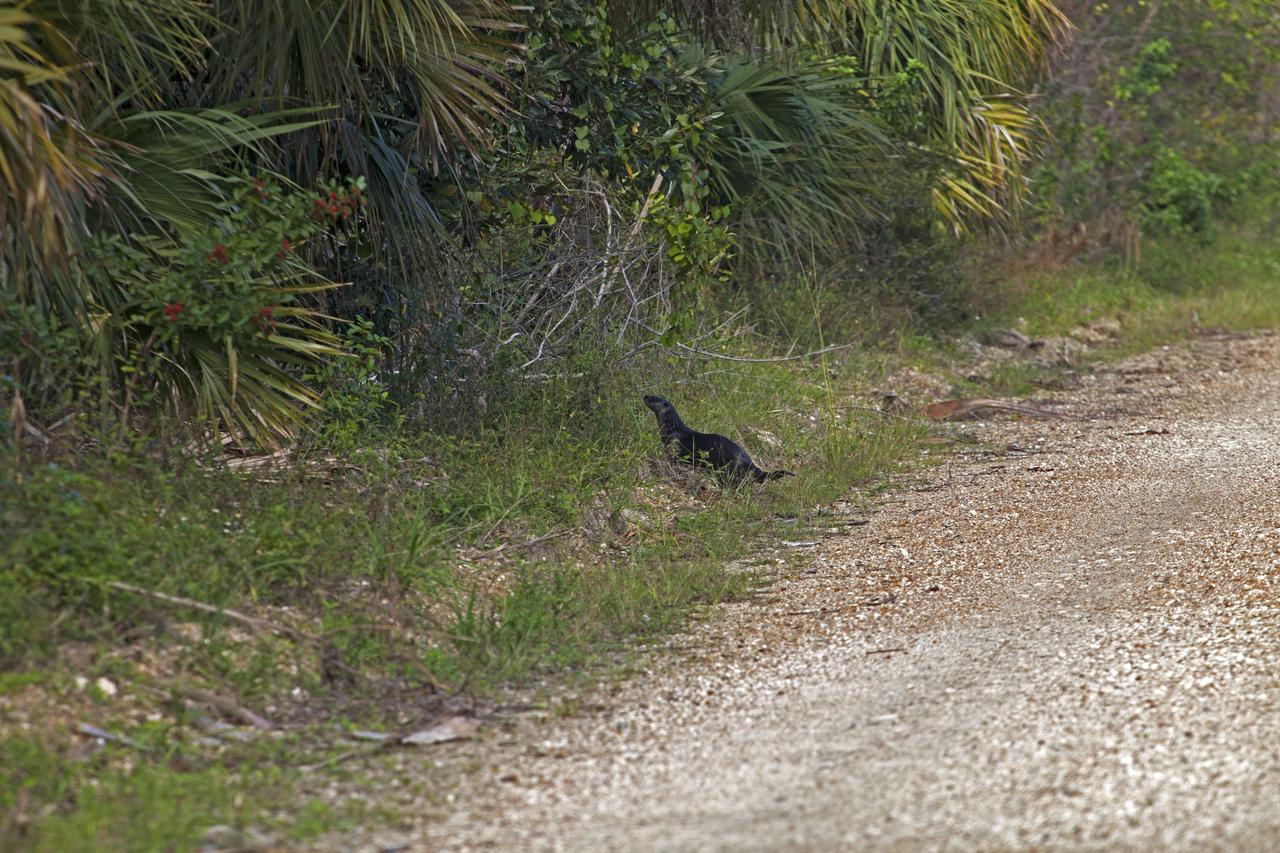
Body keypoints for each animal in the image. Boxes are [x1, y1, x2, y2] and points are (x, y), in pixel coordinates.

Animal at [643, 394, 794, 485]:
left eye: (653, 398)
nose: (645, 395)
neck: (672, 428)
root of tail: (748, 459)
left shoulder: (673, 444)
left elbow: (672, 458)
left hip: (731, 467)